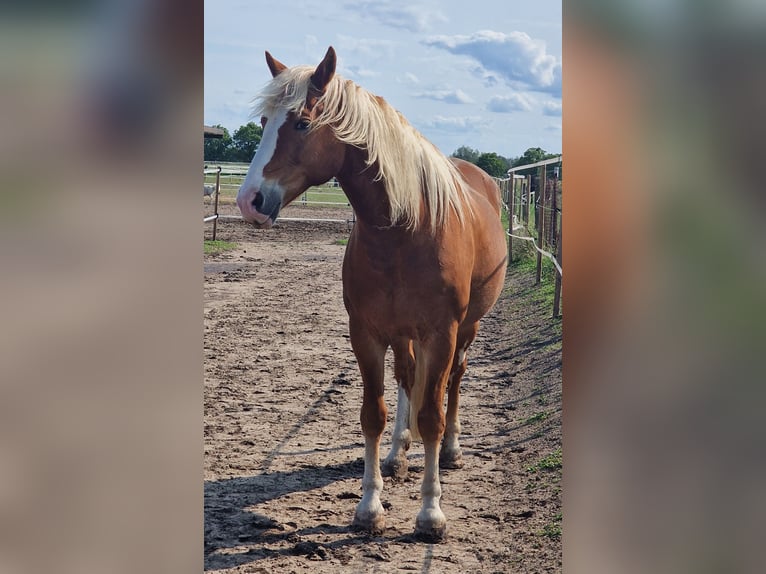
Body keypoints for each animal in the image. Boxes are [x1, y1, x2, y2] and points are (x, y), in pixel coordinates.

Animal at [236, 47, 508, 541]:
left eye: (301, 123)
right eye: (264, 121)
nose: (249, 201)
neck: (405, 229)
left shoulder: (441, 333)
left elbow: (432, 415)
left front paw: (430, 513)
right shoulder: (366, 333)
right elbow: (374, 414)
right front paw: (369, 505)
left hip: (467, 329)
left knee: (454, 383)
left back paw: (452, 450)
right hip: (401, 334)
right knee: (406, 378)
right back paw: (398, 455)